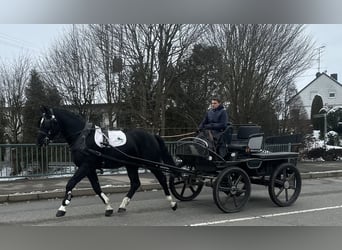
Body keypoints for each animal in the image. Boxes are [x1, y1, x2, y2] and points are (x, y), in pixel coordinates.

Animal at [36, 106, 178, 218]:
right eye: (40, 122)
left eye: (47, 123)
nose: (39, 142)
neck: (83, 137)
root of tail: (152, 135)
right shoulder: (90, 169)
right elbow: (96, 187)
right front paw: (108, 207)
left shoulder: (86, 166)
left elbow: (70, 183)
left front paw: (62, 207)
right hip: (131, 165)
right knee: (135, 183)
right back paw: (123, 205)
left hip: (152, 163)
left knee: (162, 179)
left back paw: (172, 202)